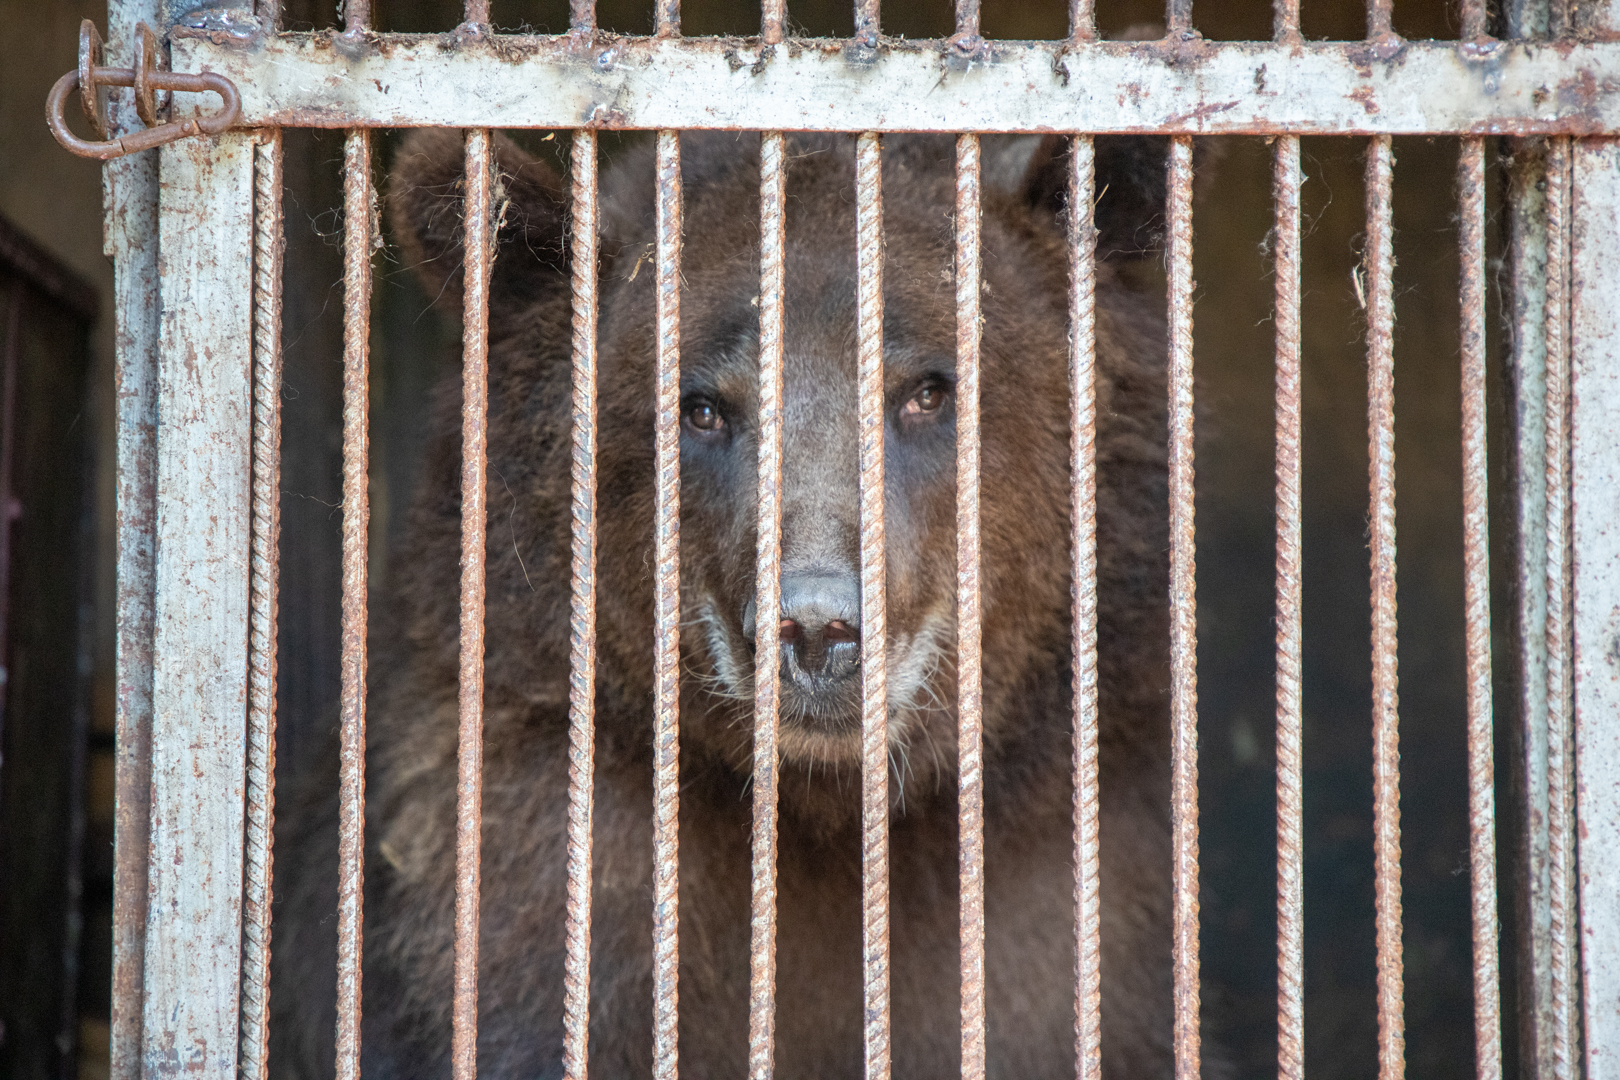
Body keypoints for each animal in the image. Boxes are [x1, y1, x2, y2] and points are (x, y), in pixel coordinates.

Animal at [272, 128, 1192, 1080]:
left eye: (927, 390)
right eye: (703, 406)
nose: (818, 629)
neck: (826, 812)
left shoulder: (1065, 929)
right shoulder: (524, 901)